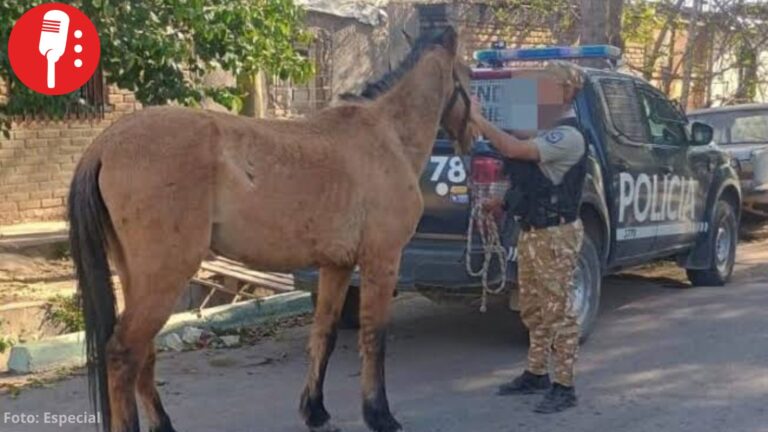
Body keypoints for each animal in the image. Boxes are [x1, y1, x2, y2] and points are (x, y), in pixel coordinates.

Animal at [68, 26, 472, 432]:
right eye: (468, 77)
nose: (471, 138)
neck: (387, 136)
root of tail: (106, 144)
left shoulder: (337, 265)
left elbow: (323, 334)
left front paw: (316, 411)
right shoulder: (382, 259)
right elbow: (375, 337)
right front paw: (379, 414)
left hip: (136, 276)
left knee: (143, 353)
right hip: (165, 276)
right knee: (124, 353)